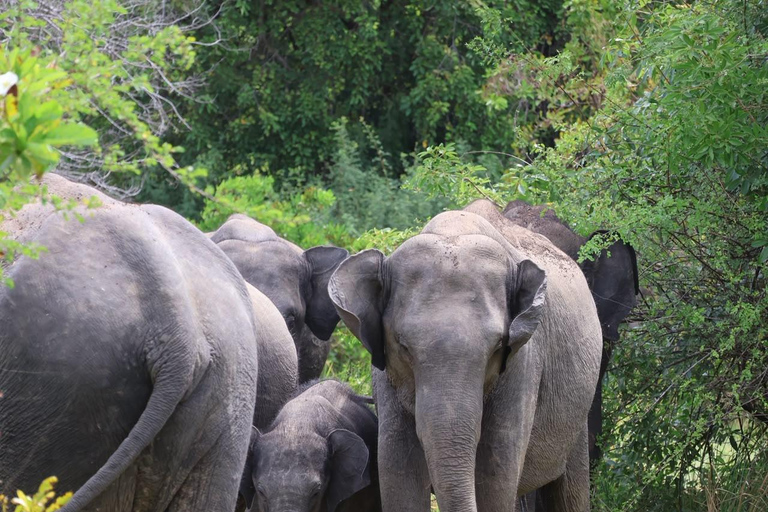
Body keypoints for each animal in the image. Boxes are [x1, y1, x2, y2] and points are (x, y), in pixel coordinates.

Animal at [328, 199, 602, 512]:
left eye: (497, 346)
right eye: (403, 346)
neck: (453, 231)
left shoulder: (523, 361)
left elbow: (495, 477)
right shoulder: (386, 374)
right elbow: (399, 475)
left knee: (570, 490)